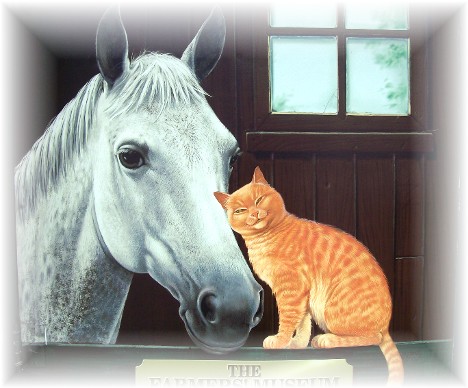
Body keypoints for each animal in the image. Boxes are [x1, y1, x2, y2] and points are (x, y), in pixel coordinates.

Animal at [214, 167, 404, 384]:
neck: (265, 238)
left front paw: (280, 340)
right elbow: (303, 322)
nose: (254, 213)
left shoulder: (291, 289)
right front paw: (296, 343)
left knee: (372, 338)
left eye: (259, 199)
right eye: (240, 211)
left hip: (333, 314)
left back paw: (326, 339)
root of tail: (386, 326)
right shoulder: (300, 294)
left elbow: (288, 319)